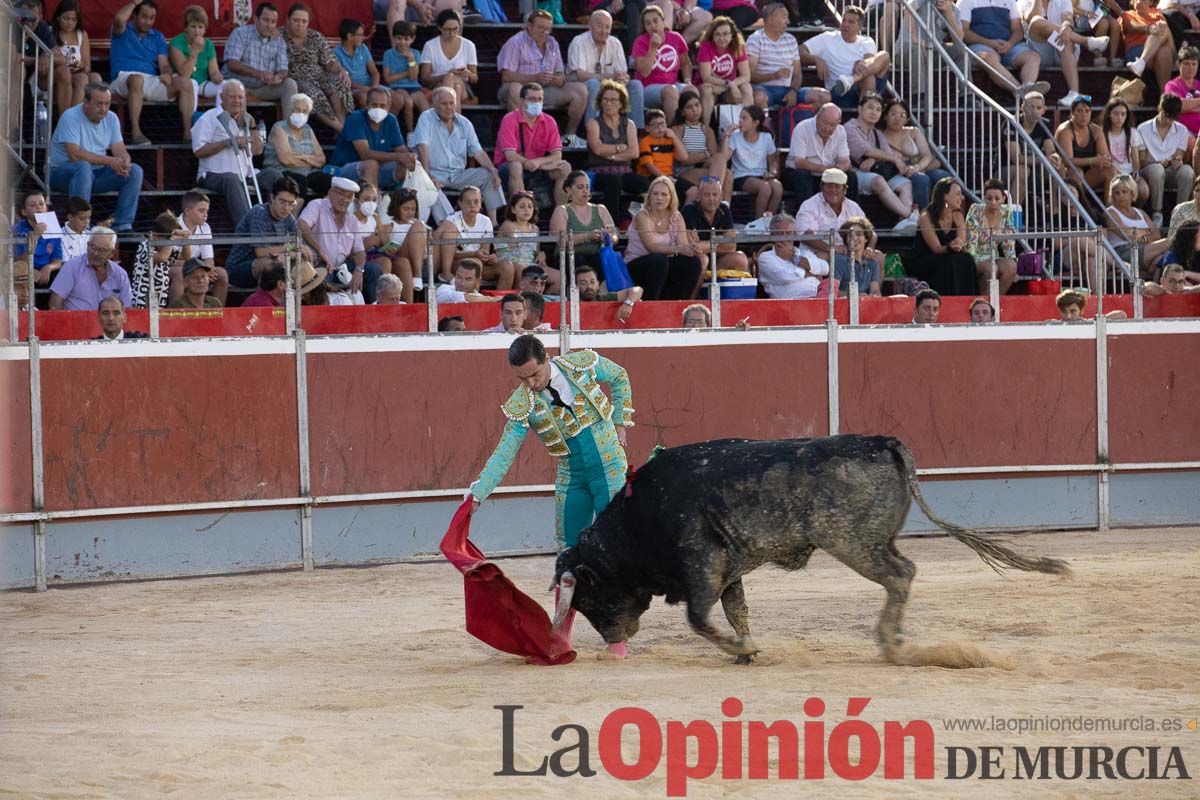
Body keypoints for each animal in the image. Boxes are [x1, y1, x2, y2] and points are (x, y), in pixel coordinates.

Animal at [552, 434, 1070, 662]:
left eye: (590, 600)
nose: (614, 641)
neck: (637, 521)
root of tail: (883, 441)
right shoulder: (729, 569)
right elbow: (736, 609)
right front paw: (745, 650)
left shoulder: (700, 564)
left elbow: (699, 618)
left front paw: (740, 647)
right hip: (872, 540)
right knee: (902, 571)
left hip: (850, 542)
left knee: (901, 574)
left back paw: (890, 643)